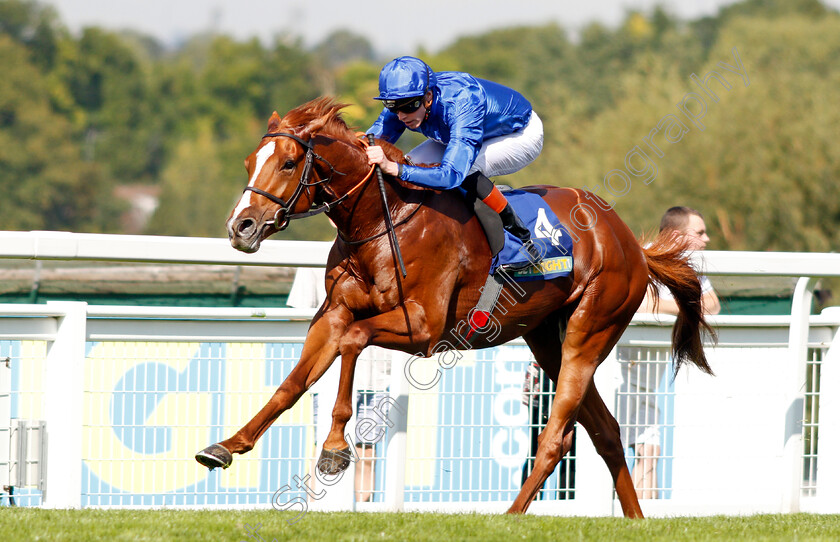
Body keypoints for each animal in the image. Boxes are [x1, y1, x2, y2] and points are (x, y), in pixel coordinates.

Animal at [197, 98, 716, 520]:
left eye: (288, 163)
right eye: (250, 162)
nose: (240, 227)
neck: (381, 220)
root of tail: (632, 243)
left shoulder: (424, 328)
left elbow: (354, 341)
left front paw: (334, 449)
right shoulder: (332, 314)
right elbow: (294, 383)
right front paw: (227, 446)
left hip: (590, 333)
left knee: (557, 435)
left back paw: (511, 514)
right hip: (546, 339)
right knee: (605, 431)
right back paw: (635, 519)